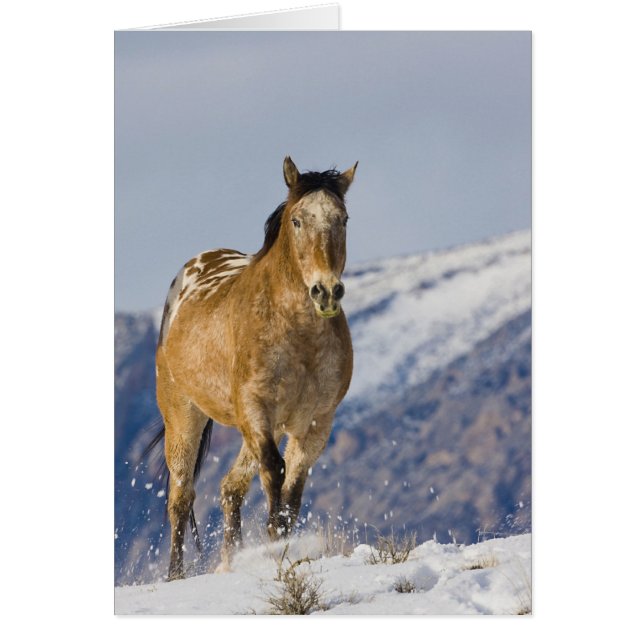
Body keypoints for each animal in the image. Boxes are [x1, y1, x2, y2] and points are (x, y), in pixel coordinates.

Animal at [153, 156, 357, 580]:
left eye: (343, 219)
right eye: (297, 220)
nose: (326, 292)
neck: (299, 337)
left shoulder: (316, 422)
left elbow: (292, 489)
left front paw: (281, 547)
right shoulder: (255, 410)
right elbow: (275, 471)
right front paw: (274, 545)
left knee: (230, 488)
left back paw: (229, 563)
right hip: (183, 414)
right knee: (181, 497)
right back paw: (176, 575)